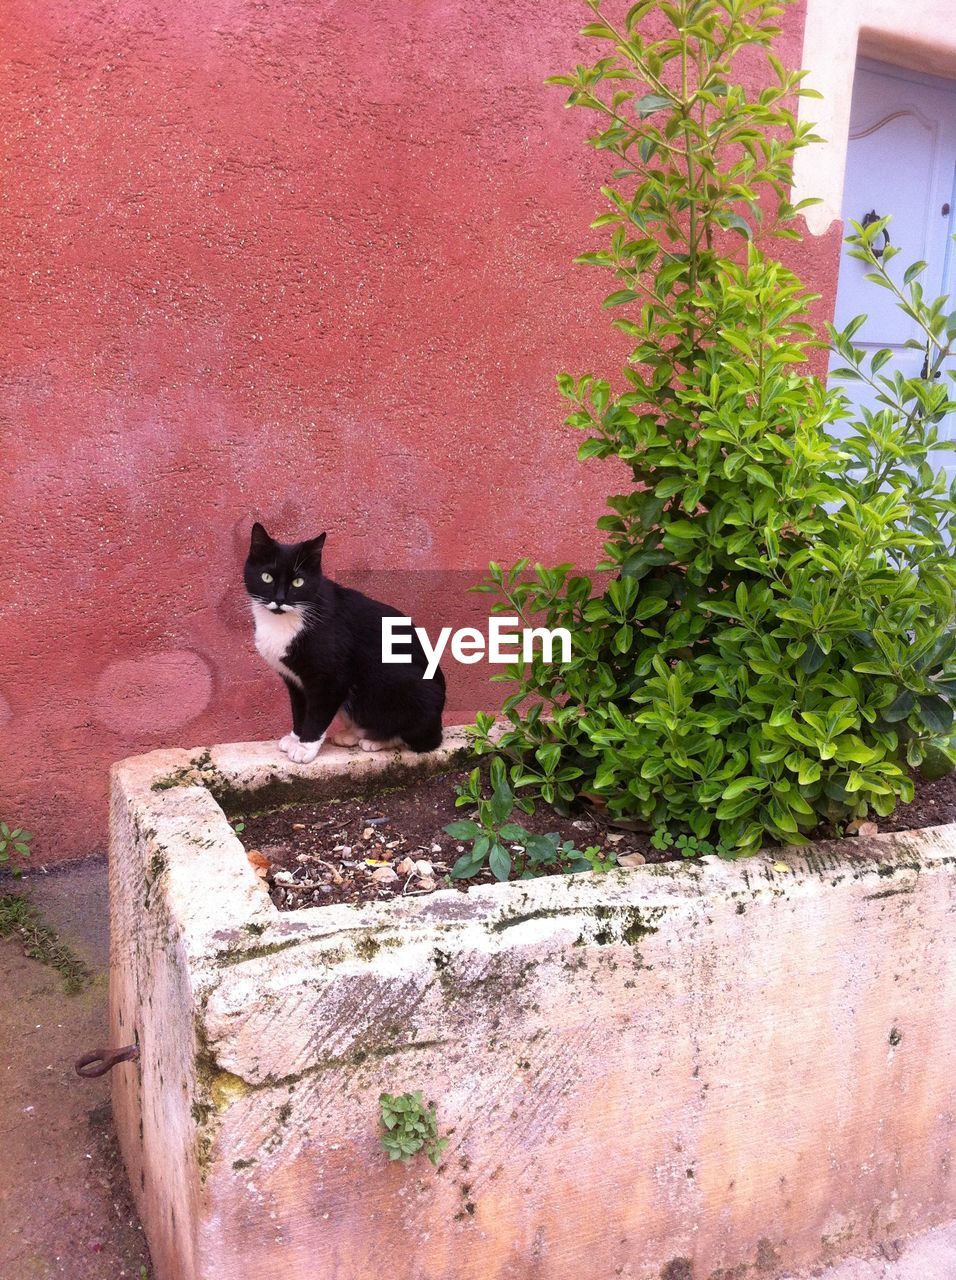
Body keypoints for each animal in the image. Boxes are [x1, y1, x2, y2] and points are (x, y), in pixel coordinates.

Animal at [243, 519, 445, 757]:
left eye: (298, 582)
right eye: (266, 577)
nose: (280, 599)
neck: (283, 620)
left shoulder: (331, 677)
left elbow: (317, 713)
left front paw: (305, 747)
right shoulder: (294, 680)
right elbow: (299, 709)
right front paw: (295, 738)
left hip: (407, 686)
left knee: (422, 740)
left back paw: (377, 740)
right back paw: (353, 735)